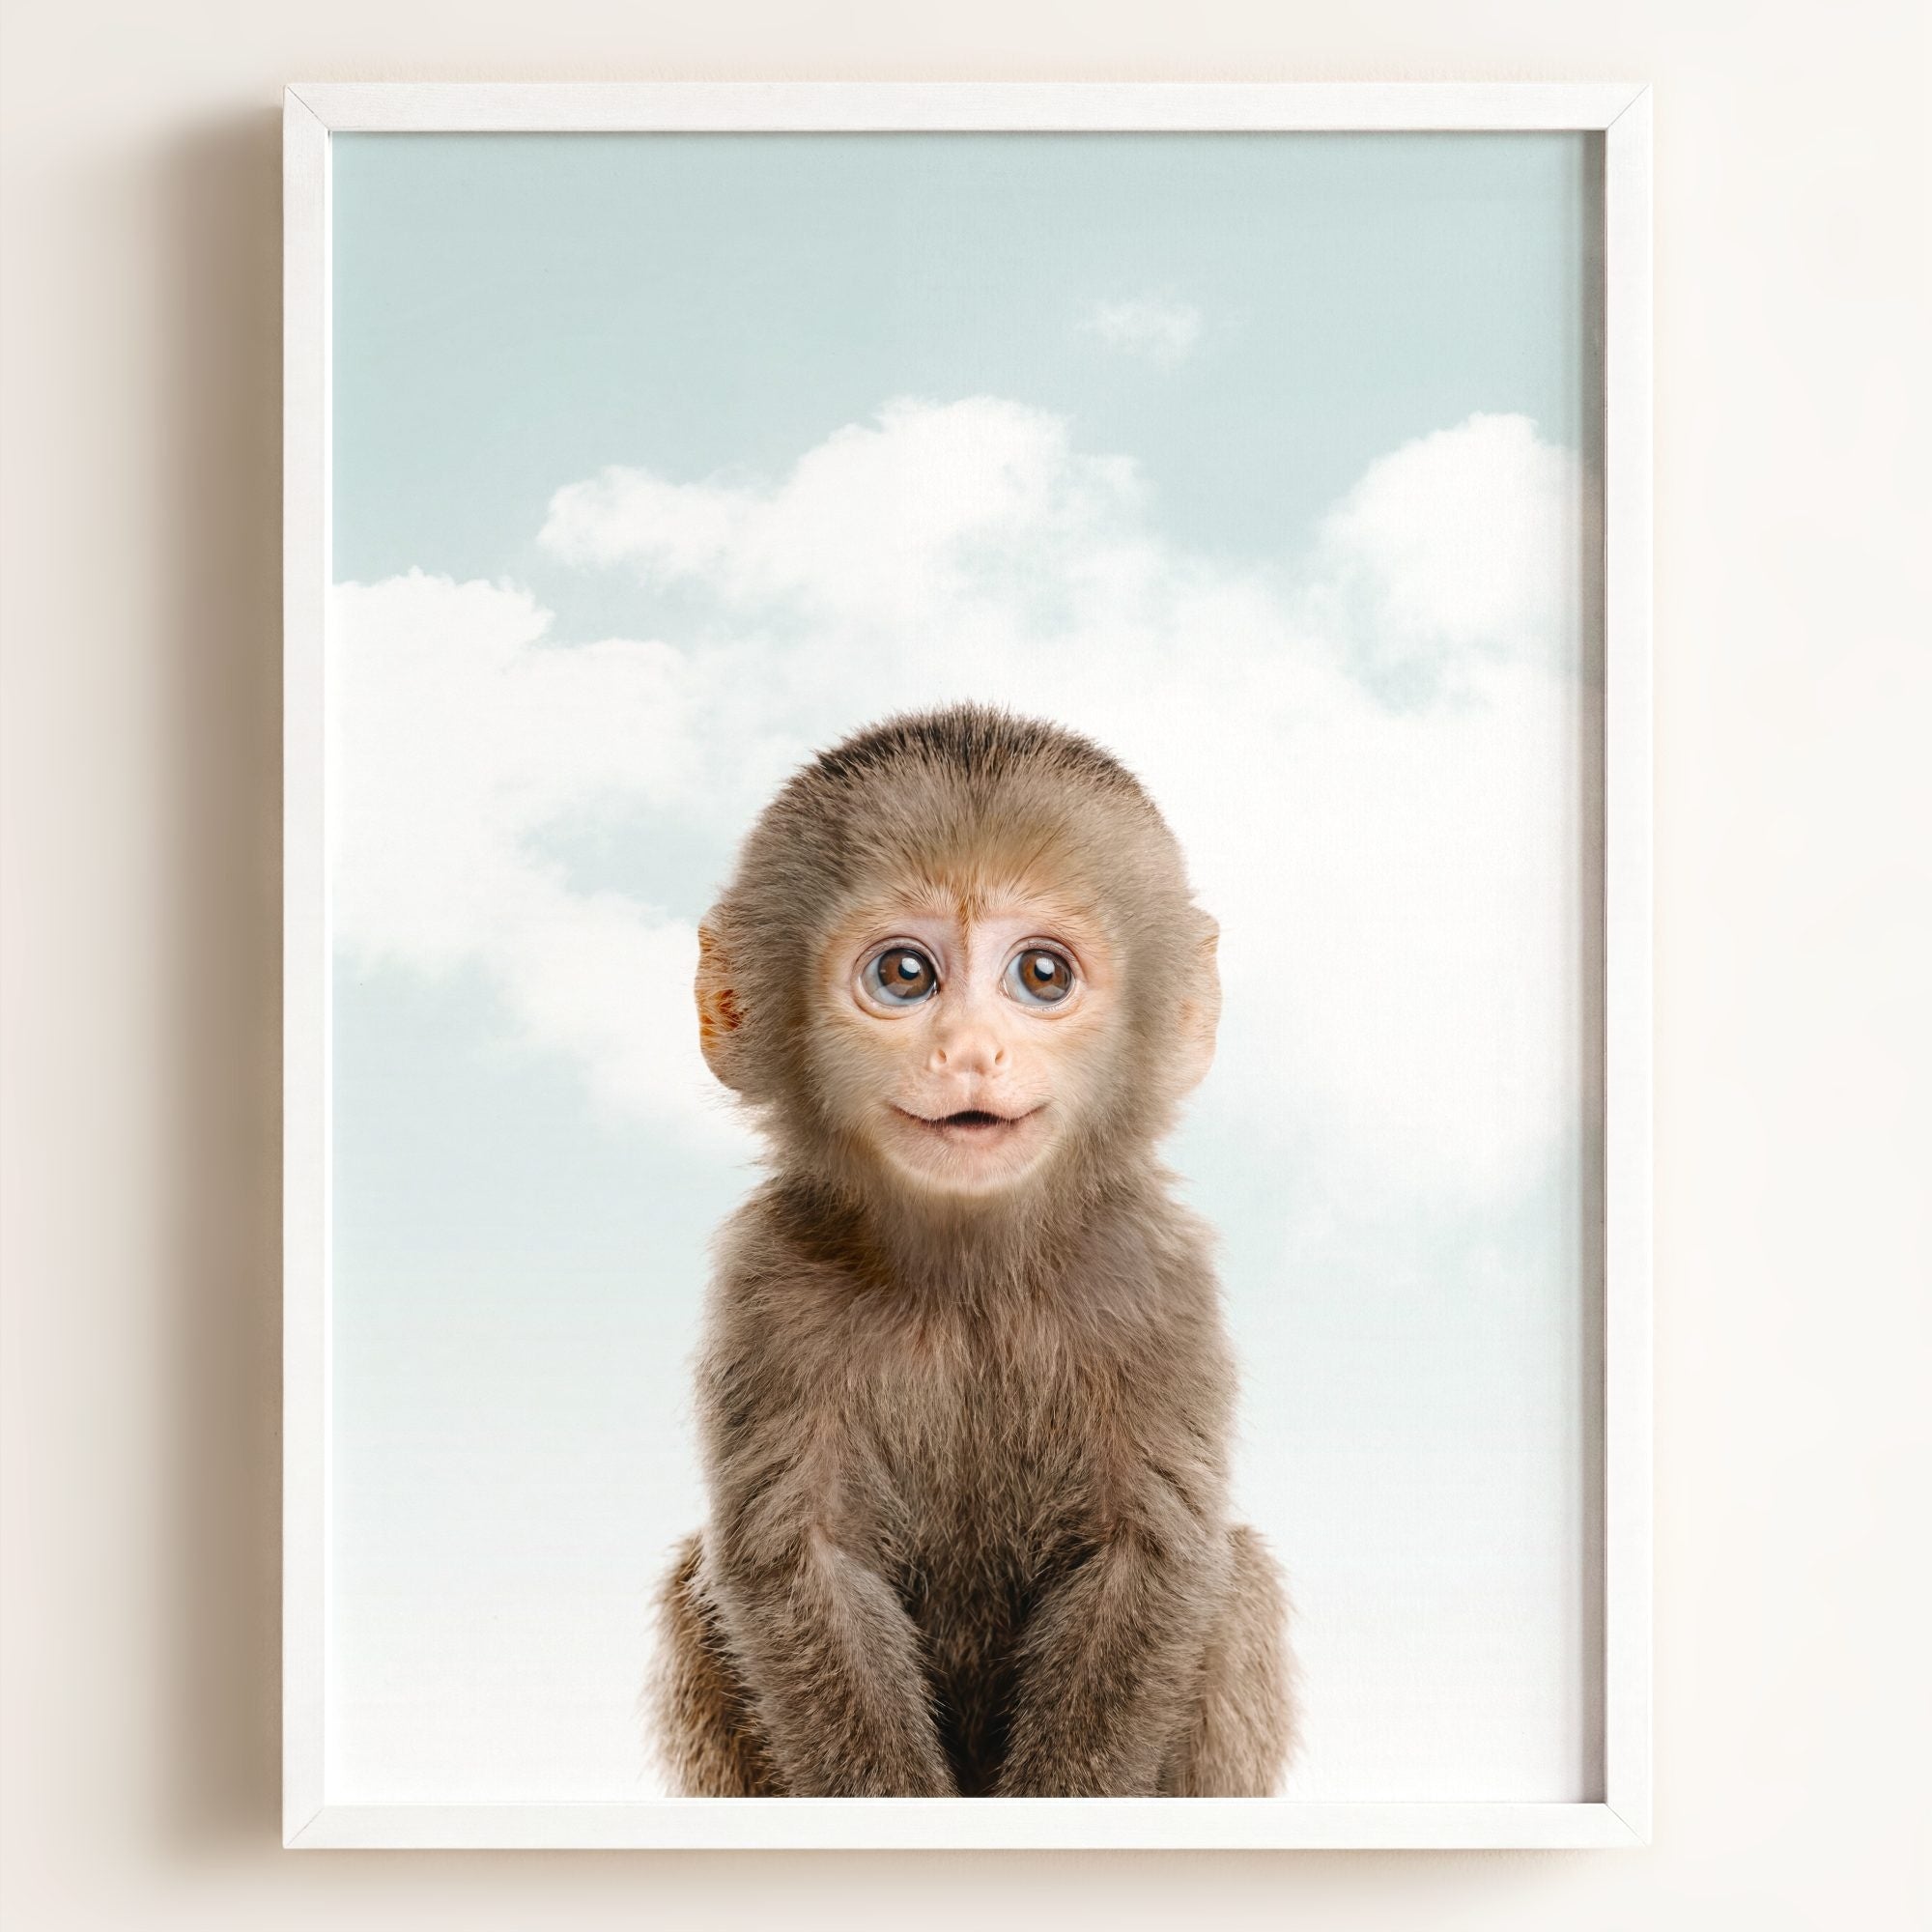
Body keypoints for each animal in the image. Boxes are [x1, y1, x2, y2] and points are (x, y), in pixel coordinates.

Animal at [650, 704, 1293, 1797]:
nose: (969, 1053)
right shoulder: (769, 1282)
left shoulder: (1155, 1277)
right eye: (904, 974)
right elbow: (798, 1563)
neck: (969, 1279)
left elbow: (1150, 1557)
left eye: (1041, 974)